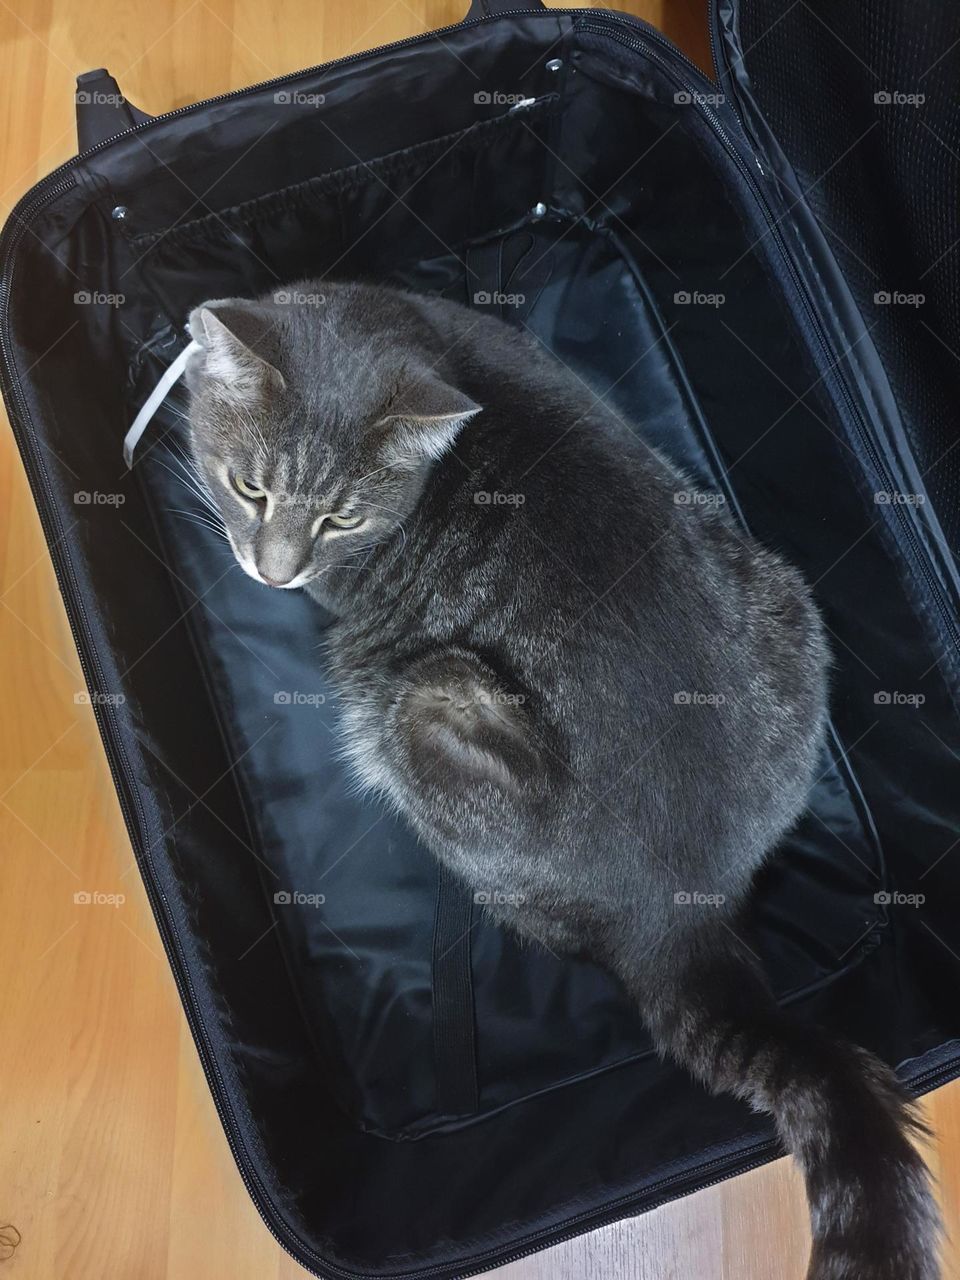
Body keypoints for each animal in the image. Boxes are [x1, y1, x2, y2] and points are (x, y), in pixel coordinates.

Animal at [185, 280, 942, 1280]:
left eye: (341, 519)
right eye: (252, 487)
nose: (274, 570)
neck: (410, 326)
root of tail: (682, 913)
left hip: (432, 704)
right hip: (788, 602)